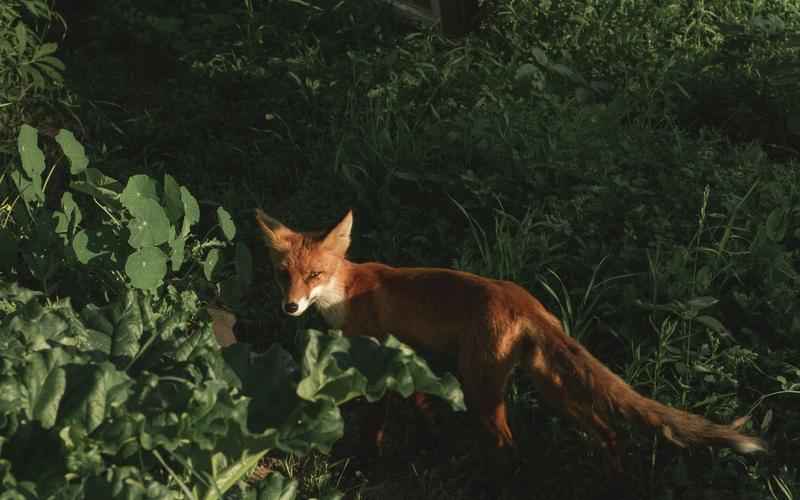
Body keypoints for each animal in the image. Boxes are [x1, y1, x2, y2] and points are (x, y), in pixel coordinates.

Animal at [256, 209, 768, 474]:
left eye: (314, 275)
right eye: (283, 275)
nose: (290, 308)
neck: (346, 293)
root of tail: (523, 299)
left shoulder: (377, 364)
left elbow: (375, 426)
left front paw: (371, 459)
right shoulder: (409, 362)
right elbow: (421, 407)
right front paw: (430, 441)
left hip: (482, 391)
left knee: (511, 445)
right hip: (551, 388)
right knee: (608, 429)